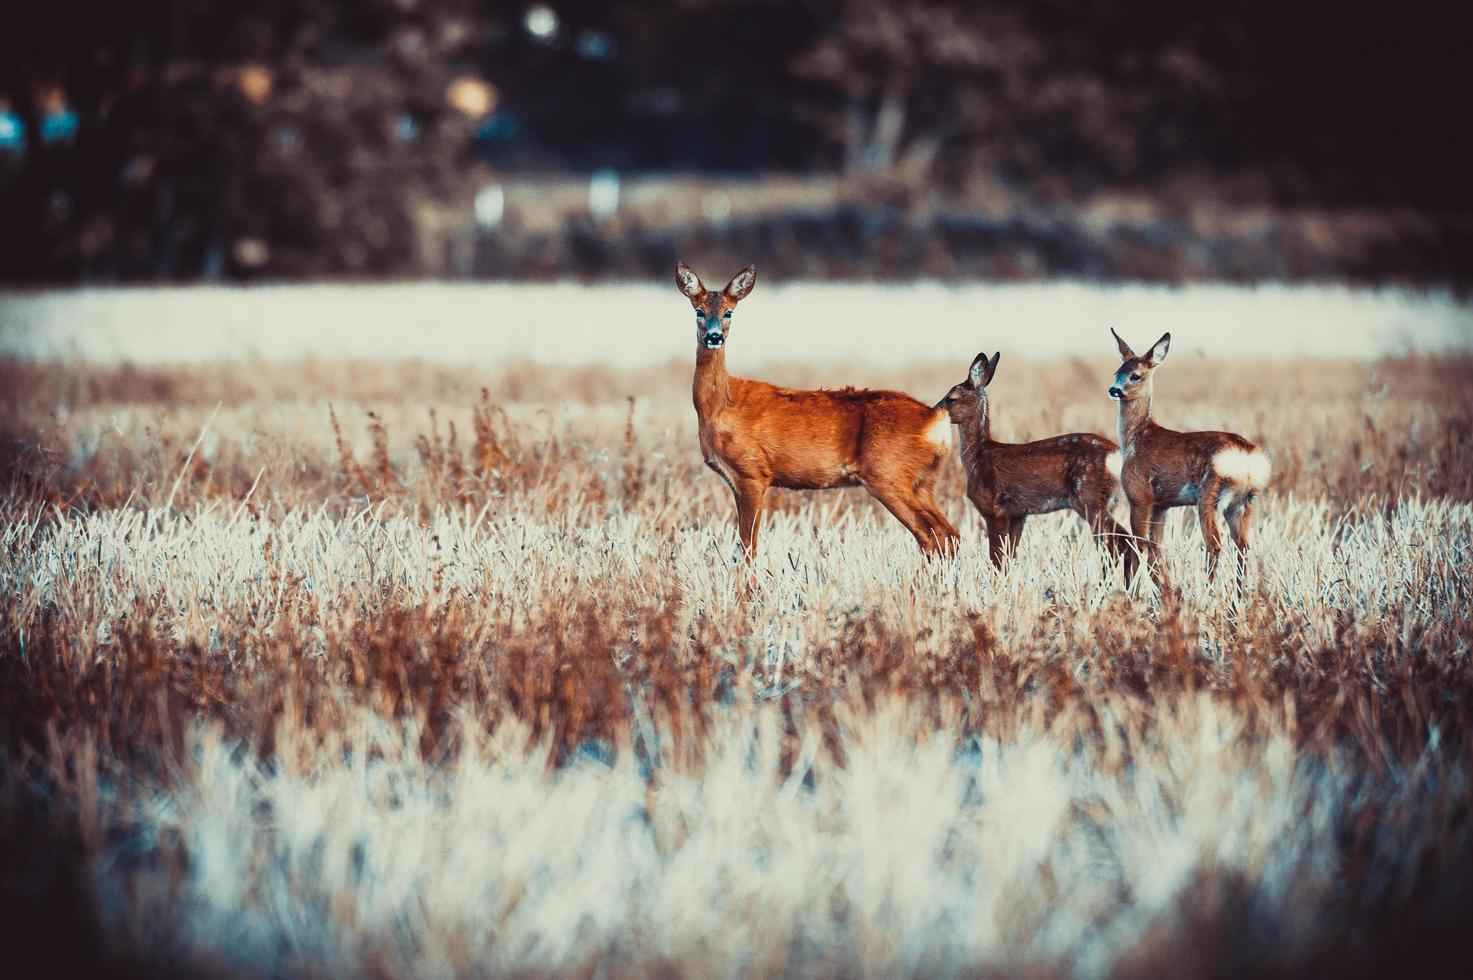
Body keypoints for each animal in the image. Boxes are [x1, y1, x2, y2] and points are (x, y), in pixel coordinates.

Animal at [674, 262, 960, 557]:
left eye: (728, 312)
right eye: (699, 311)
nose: (714, 337)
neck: (719, 406)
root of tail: (935, 418)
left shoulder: (751, 472)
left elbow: (747, 547)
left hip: (889, 474)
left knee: (932, 535)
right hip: (922, 481)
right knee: (948, 534)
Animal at [936, 353, 1131, 577]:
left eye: (952, 398)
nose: (933, 410)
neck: (979, 456)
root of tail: (1117, 456)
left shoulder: (994, 508)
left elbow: (996, 560)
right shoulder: (1018, 514)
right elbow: (1008, 559)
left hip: (1089, 498)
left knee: (1118, 544)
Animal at [1107, 330, 1272, 580]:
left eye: (1135, 376)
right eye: (1117, 372)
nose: (1114, 390)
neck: (1137, 437)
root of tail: (1247, 457)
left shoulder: (1139, 495)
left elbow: (1139, 545)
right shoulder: (1161, 505)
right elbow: (1156, 549)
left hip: (1209, 496)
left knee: (1215, 545)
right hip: (1243, 502)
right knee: (1243, 547)